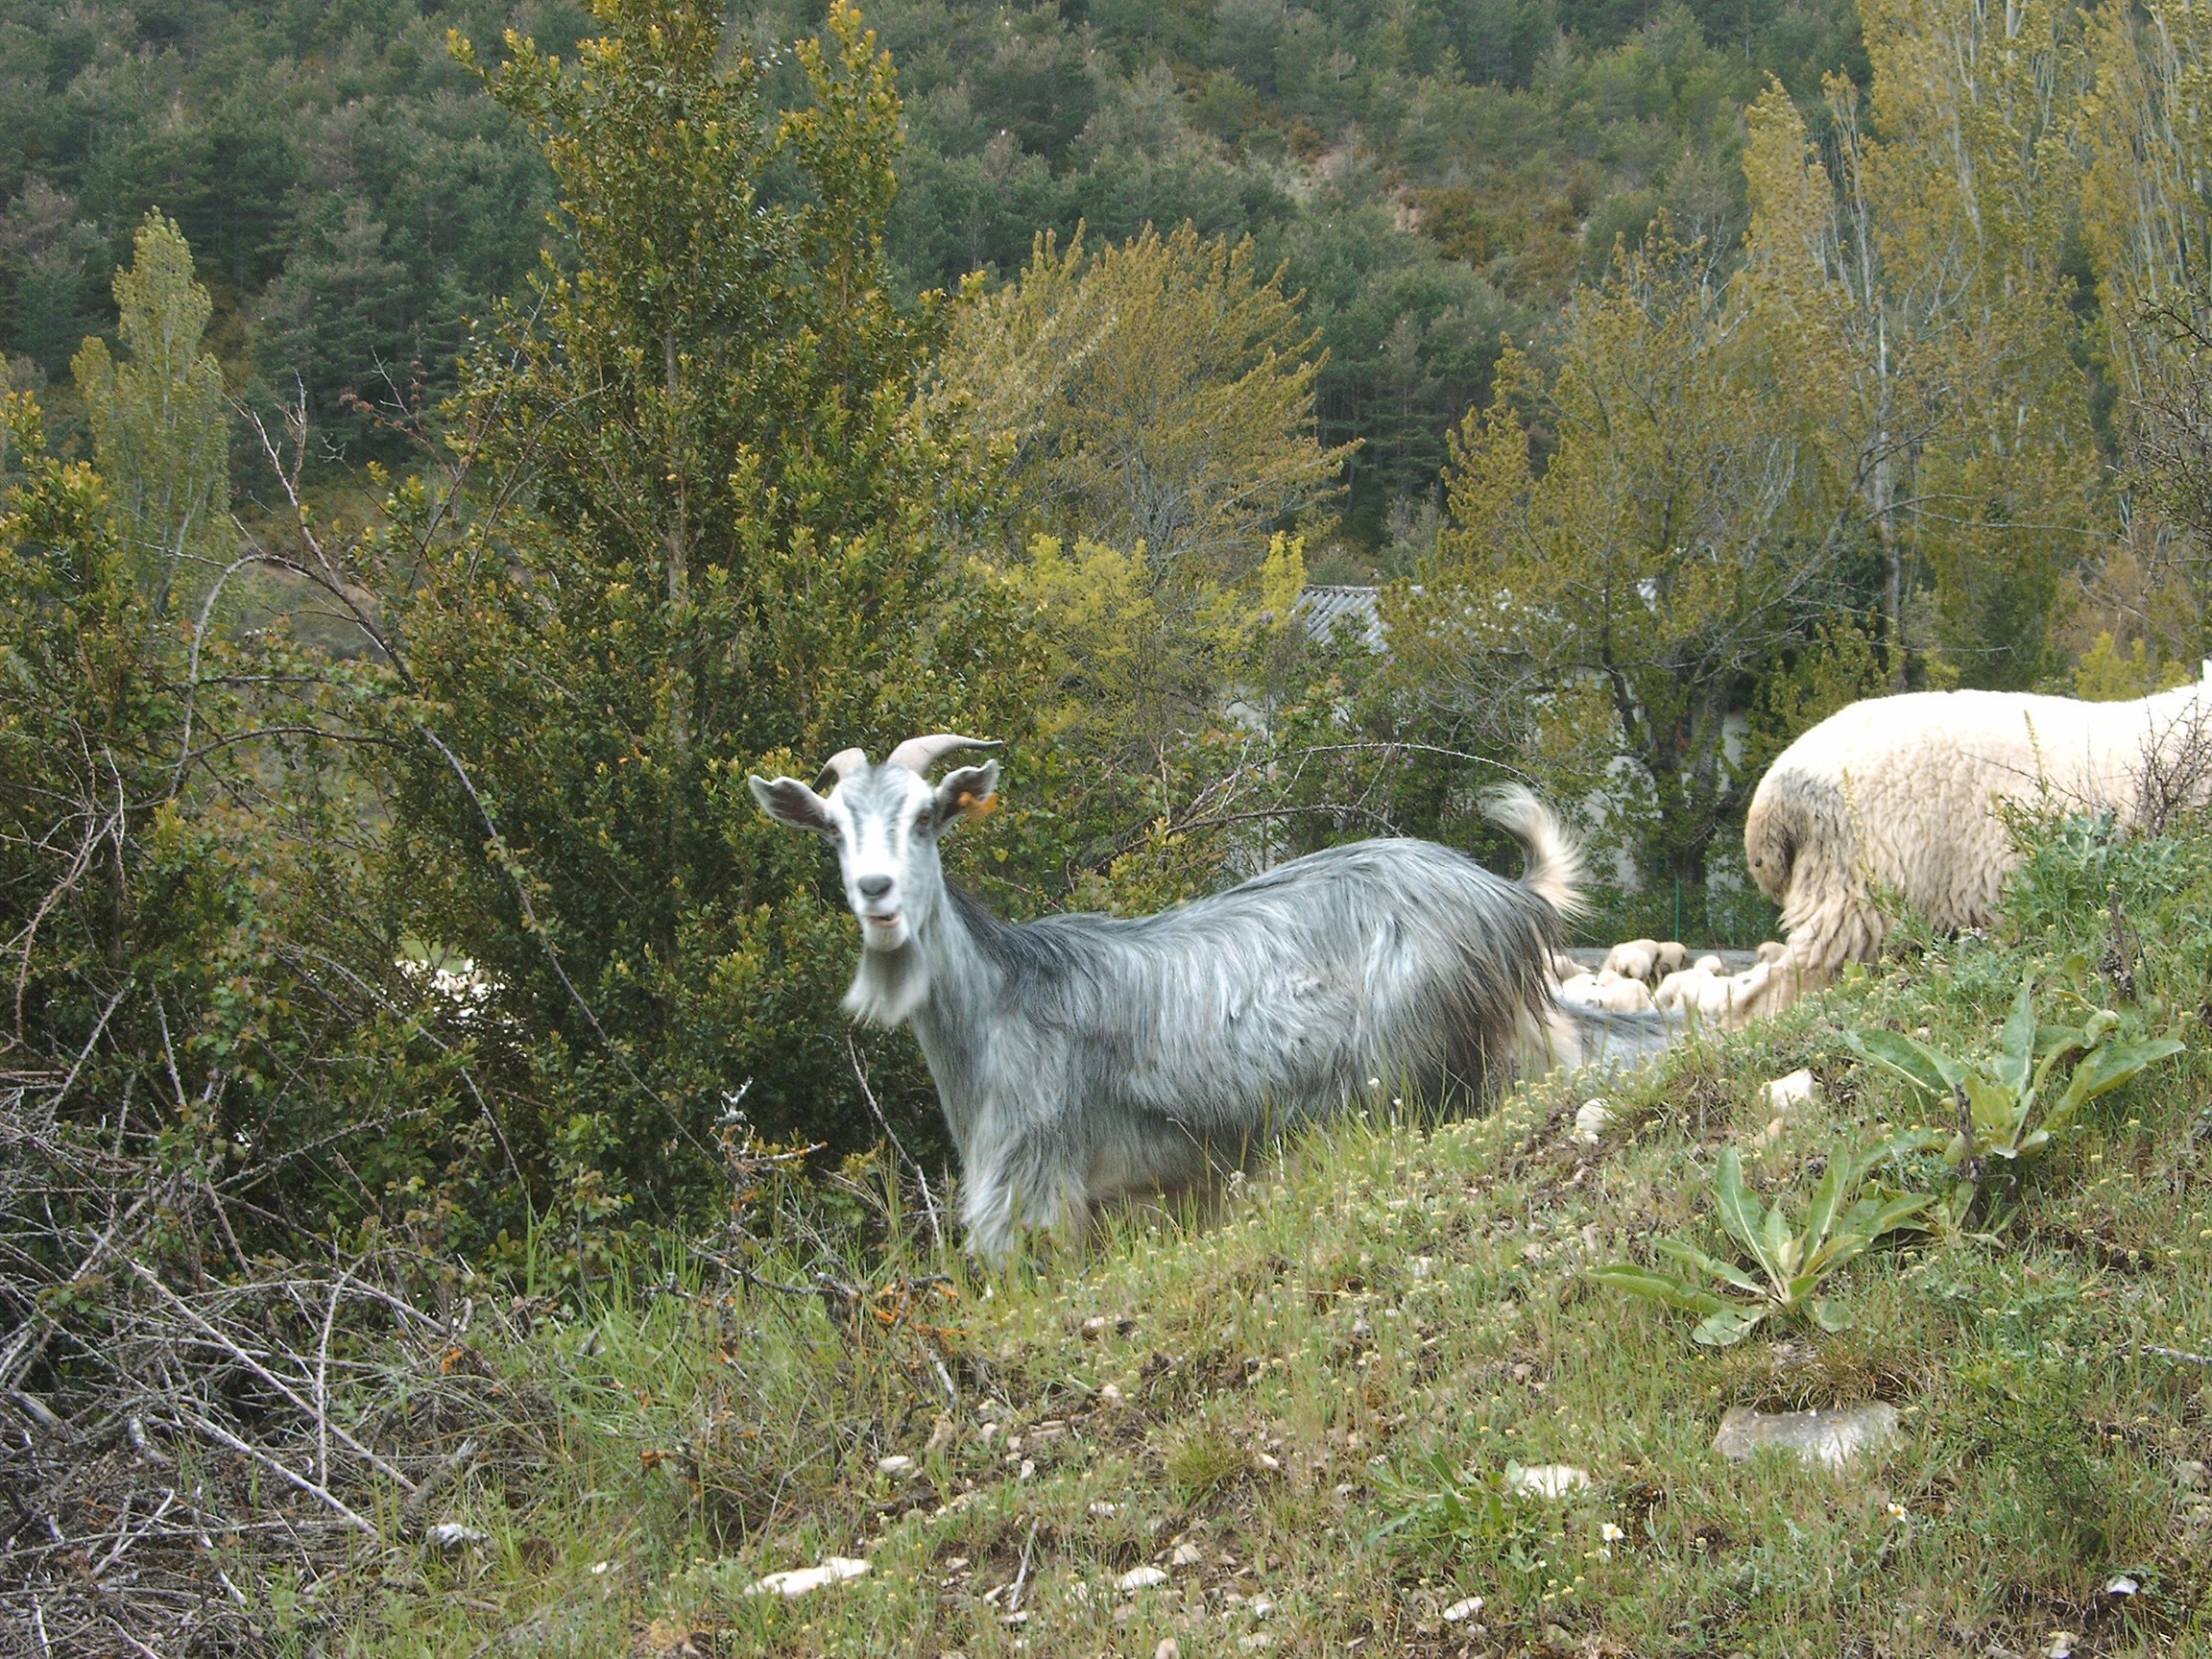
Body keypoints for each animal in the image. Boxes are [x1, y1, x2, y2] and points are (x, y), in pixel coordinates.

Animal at [752, 738, 1663, 1256]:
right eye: (832, 826)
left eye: (926, 817)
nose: (876, 893)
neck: (1004, 996)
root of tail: (1504, 896)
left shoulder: (1038, 1190)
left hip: (1422, 1070)